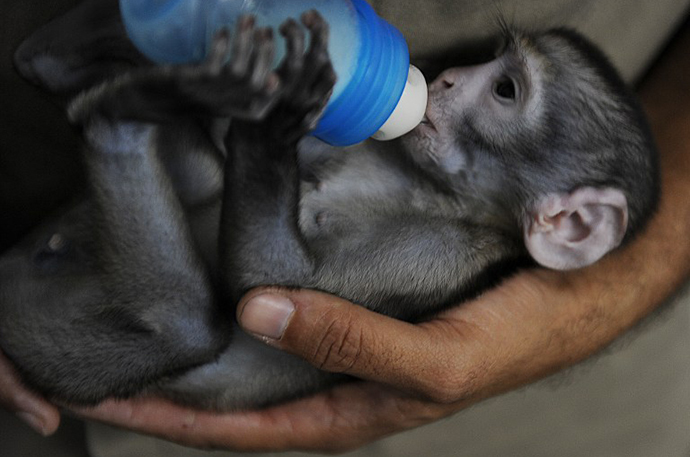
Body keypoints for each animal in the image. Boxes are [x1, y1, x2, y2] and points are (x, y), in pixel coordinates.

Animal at [0, 4, 656, 410]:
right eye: (490, 63)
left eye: (505, 89)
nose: (446, 78)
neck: (425, 185)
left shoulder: (448, 254)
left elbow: (269, 283)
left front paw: (272, 128)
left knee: (187, 326)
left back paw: (117, 117)